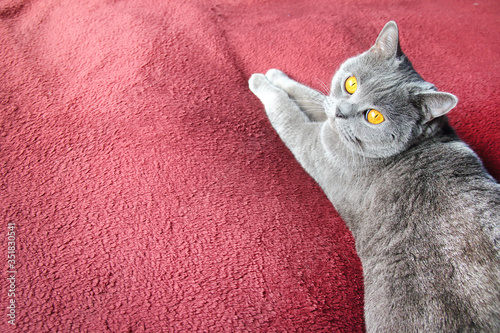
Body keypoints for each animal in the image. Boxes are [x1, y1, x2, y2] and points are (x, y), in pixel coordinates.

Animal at [250, 22, 500, 330]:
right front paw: (278, 76)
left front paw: (261, 82)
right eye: (351, 84)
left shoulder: (316, 145)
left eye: (375, 117)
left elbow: (286, 112)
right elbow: (311, 96)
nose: (341, 112)